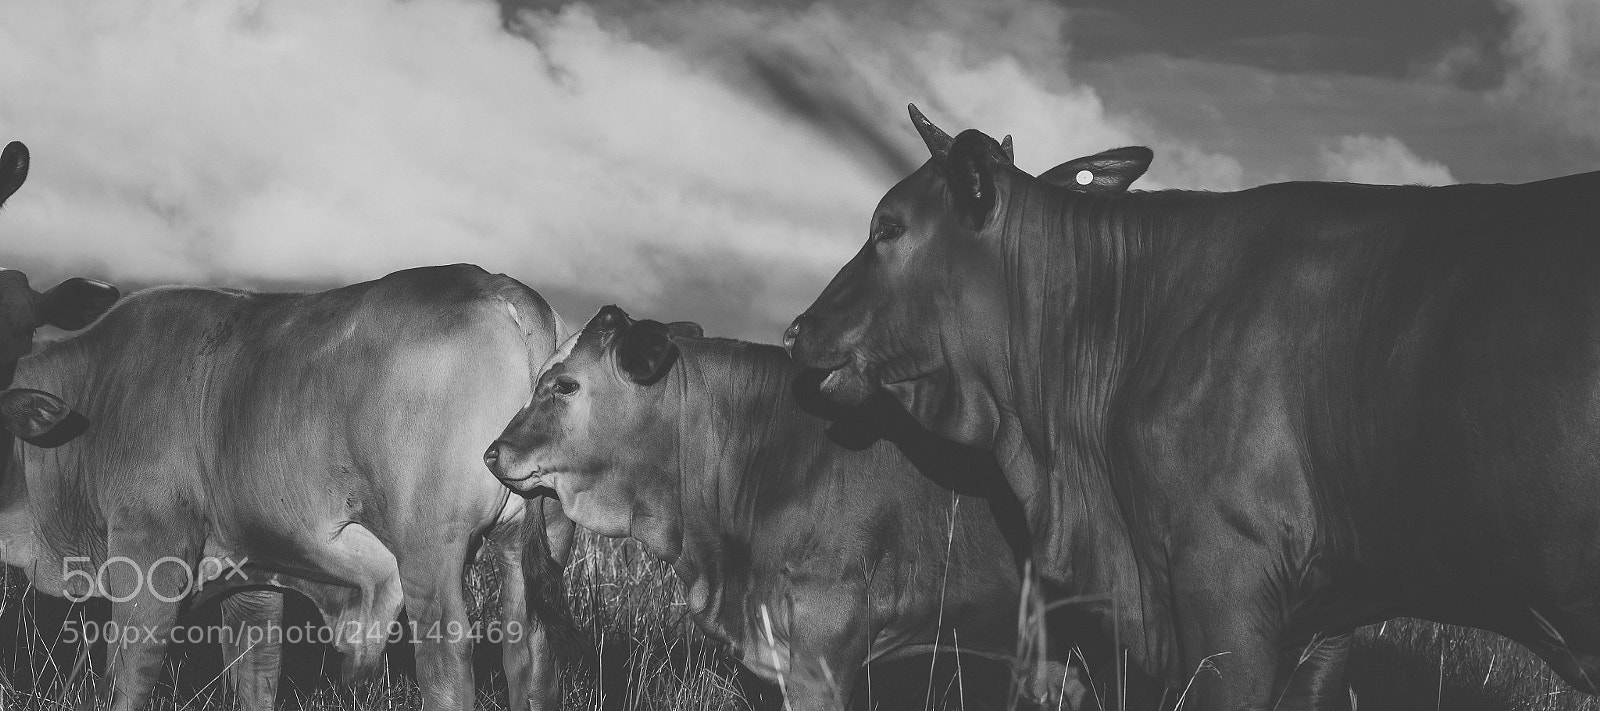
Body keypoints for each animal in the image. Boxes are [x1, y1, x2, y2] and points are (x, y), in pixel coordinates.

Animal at [1, 264, 578, 711]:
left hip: (430, 550)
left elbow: (128, 677)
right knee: (532, 661)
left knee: (448, 667)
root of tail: (500, 287)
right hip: (533, 542)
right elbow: (256, 676)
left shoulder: (150, 552)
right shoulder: (251, 573)